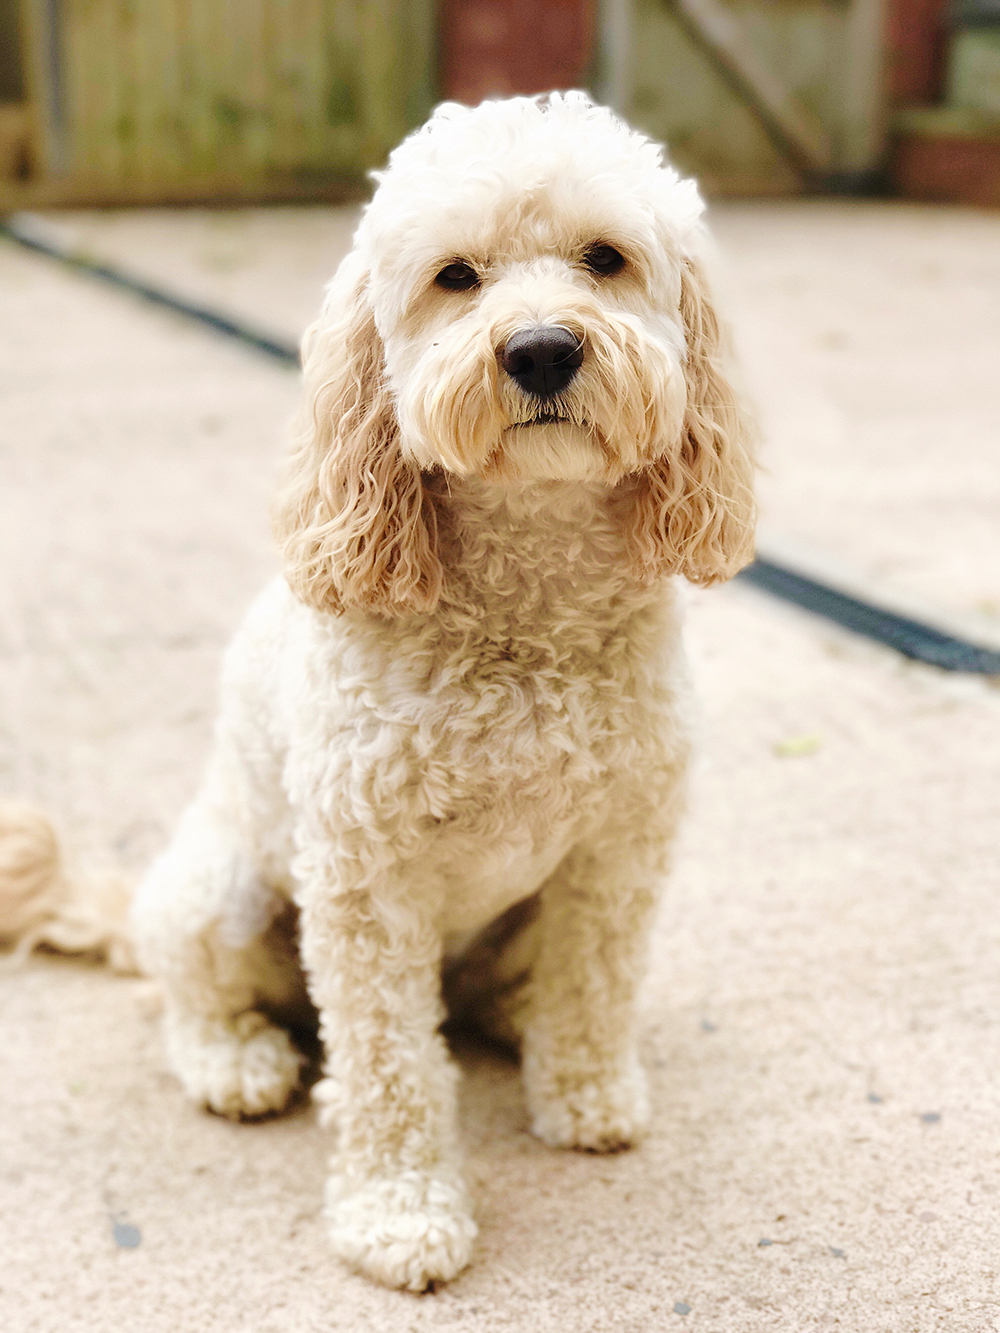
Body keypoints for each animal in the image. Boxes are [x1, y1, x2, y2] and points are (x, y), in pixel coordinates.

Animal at [130, 92, 756, 1291]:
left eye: (604, 259)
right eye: (455, 276)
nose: (544, 349)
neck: (527, 611)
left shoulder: (618, 847)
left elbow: (594, 980)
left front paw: (584, 1090)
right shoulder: (368, 886)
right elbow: (388, 1066)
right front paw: (400, 1212)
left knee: (507, 990)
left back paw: (516, 1017)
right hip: (222, 889)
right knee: (192, 992)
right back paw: (235, 1059)